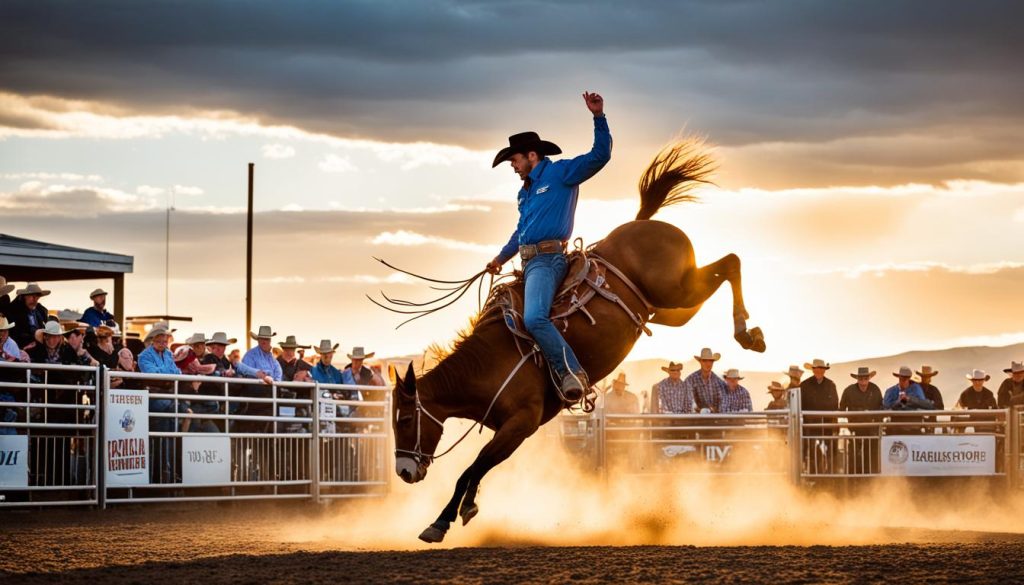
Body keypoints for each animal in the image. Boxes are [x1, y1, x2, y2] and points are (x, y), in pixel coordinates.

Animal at [387, 139, 765, 540]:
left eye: (406, 420)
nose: (404, 472)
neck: (489, 362)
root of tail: (642, 223)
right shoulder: (512, 429)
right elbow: (478, 469)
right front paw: (467, 507)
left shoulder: (521, 422)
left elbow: (469, 469)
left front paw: (439, 521)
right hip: (670, 307)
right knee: (722, 272)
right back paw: (749, 333)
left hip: (676, 289)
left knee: (732, 261)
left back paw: (747, 332)